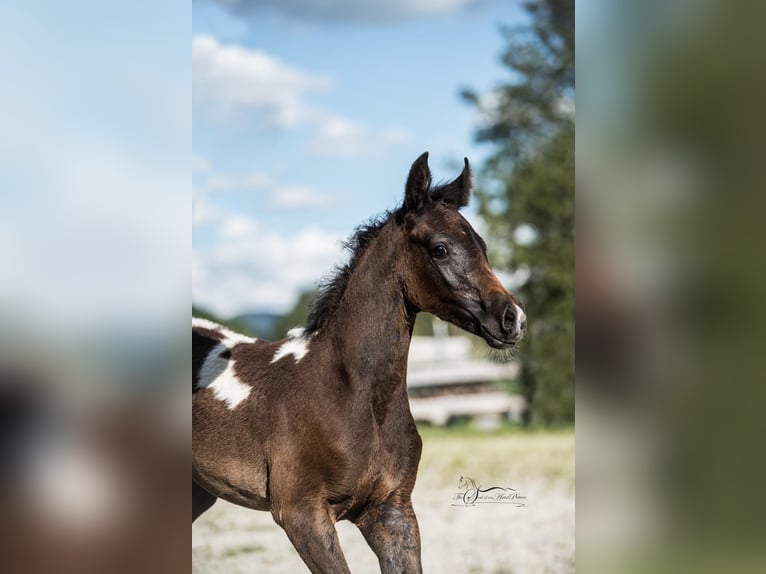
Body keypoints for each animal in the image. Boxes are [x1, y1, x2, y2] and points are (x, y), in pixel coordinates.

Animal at [192, 154, 528, 574]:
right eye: (439, 249)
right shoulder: (302, 516)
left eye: (481, 244)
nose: (513, 318)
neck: (353, 397)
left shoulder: (391, 512)